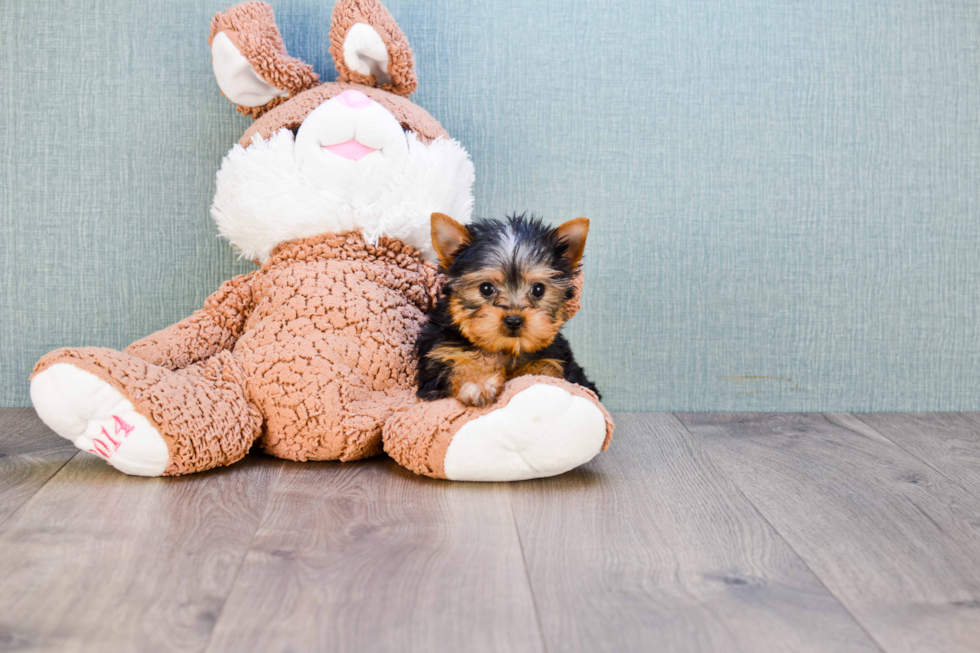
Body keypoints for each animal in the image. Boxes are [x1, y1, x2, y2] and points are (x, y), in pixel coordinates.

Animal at [418, 211, 600, 404]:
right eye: (486, 288)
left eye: (538, 289)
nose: (513, 320)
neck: (505, 349)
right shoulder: (439, 355)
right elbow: (457, 363)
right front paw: (477, 382)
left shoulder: (557, 357)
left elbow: (544, 369)